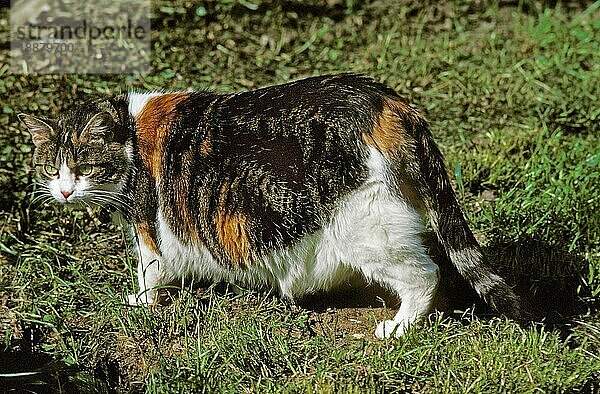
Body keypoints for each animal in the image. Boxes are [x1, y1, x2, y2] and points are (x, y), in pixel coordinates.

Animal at [18, 74, 520, 338]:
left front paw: (140, 303)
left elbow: (150, 270)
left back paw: (397, 327)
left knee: (426, 273)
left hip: (366, 228)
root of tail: (385, 102)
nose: (64, 191)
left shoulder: (149, 228)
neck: (129, 137)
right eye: (51, 168)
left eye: (83, 167)